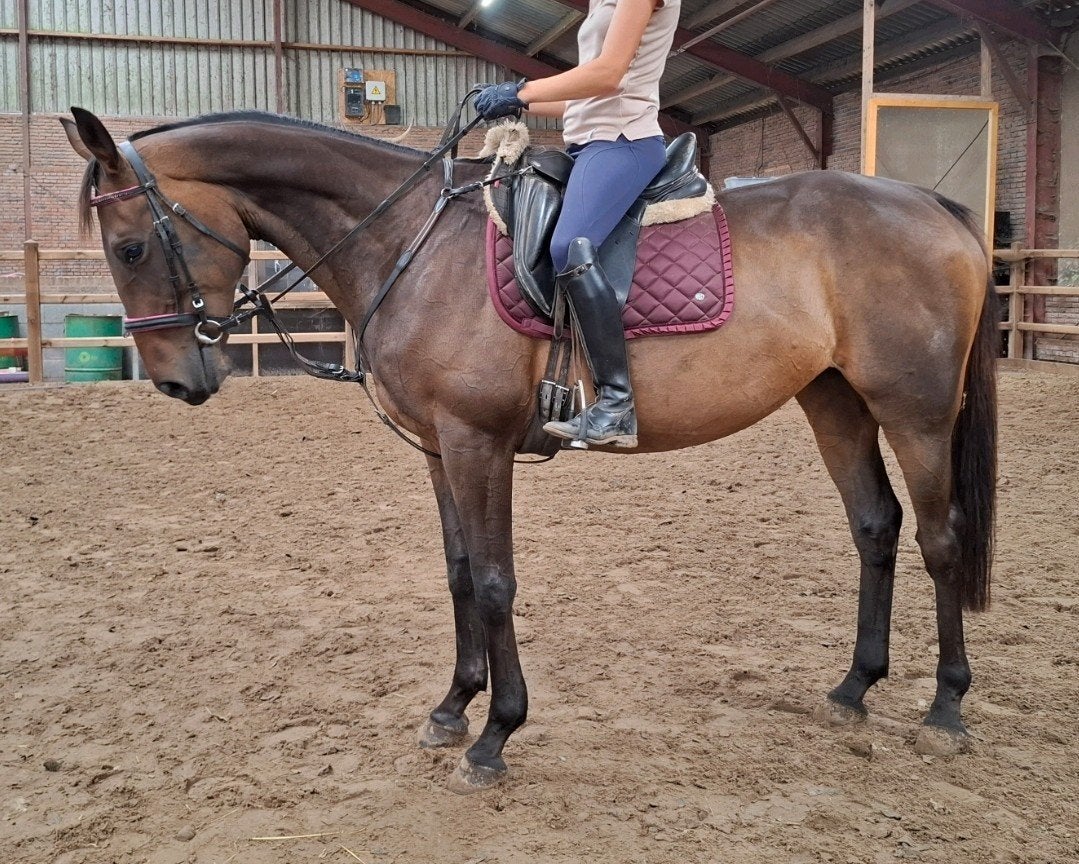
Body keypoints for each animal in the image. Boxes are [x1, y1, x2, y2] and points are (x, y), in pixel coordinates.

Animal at [62, 107, 997, 794]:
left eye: (131, 246)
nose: (175, 381)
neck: (410, 241)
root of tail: (929, 206)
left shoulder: (477, 444)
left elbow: (494, 581)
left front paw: (495, 734)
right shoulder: (437, 448)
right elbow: (456, 574)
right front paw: (452, 708)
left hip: (912, 411)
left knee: (938, 538)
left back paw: (945, 710)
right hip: (833, 400)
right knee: (874, 528)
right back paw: (853, 689)